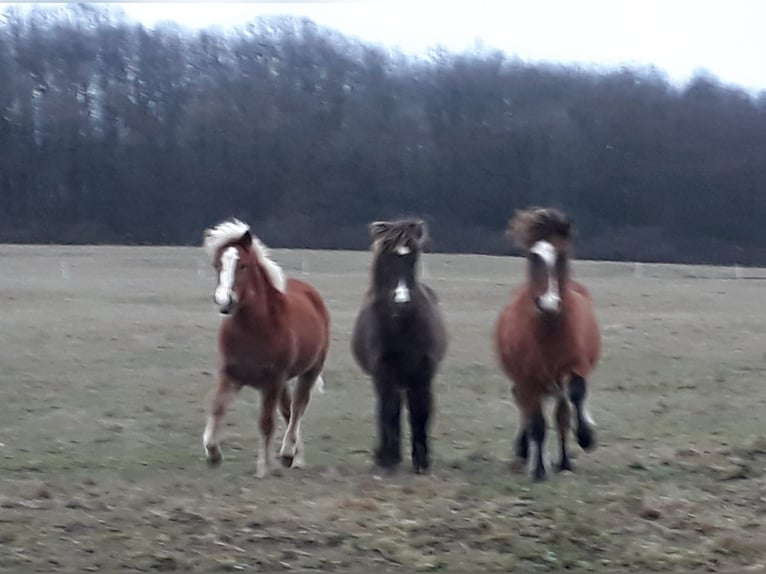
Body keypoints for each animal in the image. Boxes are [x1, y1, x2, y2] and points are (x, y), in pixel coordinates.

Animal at [201, 219, 330, 478]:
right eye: (217, 264)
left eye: (243, 265)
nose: (224, 302)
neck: (253, 329)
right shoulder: (231, 375)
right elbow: (217, 408)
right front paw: (213, 453)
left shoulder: (271, 380)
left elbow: (266, 423)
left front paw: (263, 468)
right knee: (289, 411)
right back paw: (296, 457)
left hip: (309, 371)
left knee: (298, 409)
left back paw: (289, 453)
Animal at [351, 219, 448, 474]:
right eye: (386, 260)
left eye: (413, 258)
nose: (402, 303)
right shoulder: (383, 372)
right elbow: (389, 411)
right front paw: (389, 458)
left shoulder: (423, 373)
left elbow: (420, 411)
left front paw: (422, 460)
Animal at [494, 207, 601, 481]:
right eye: (533, 257)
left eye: (562, 255)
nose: (549, 303)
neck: (549, 330)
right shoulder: (528, 378)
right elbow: (537, 424)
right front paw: (539, 470)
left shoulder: (574, 366)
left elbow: (576, 395)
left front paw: (586, 437)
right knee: (529, 411)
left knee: (562, 414)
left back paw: (563, 461)